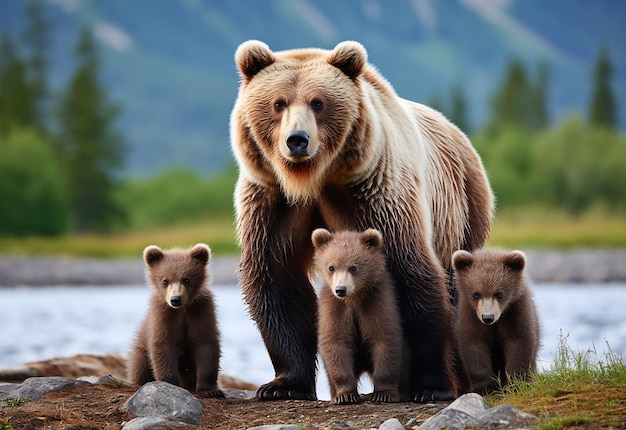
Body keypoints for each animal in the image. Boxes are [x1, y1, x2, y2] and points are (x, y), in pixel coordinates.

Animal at [229, 38, 492, 402]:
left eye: (318, 102)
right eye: (278, 103)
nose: (297, 139)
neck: (315, 178)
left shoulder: (375, 192)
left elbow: (410, 270)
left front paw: (432, 385)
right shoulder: (273, 201)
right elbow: (276, 278)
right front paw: (282, 385)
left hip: (463, 209)